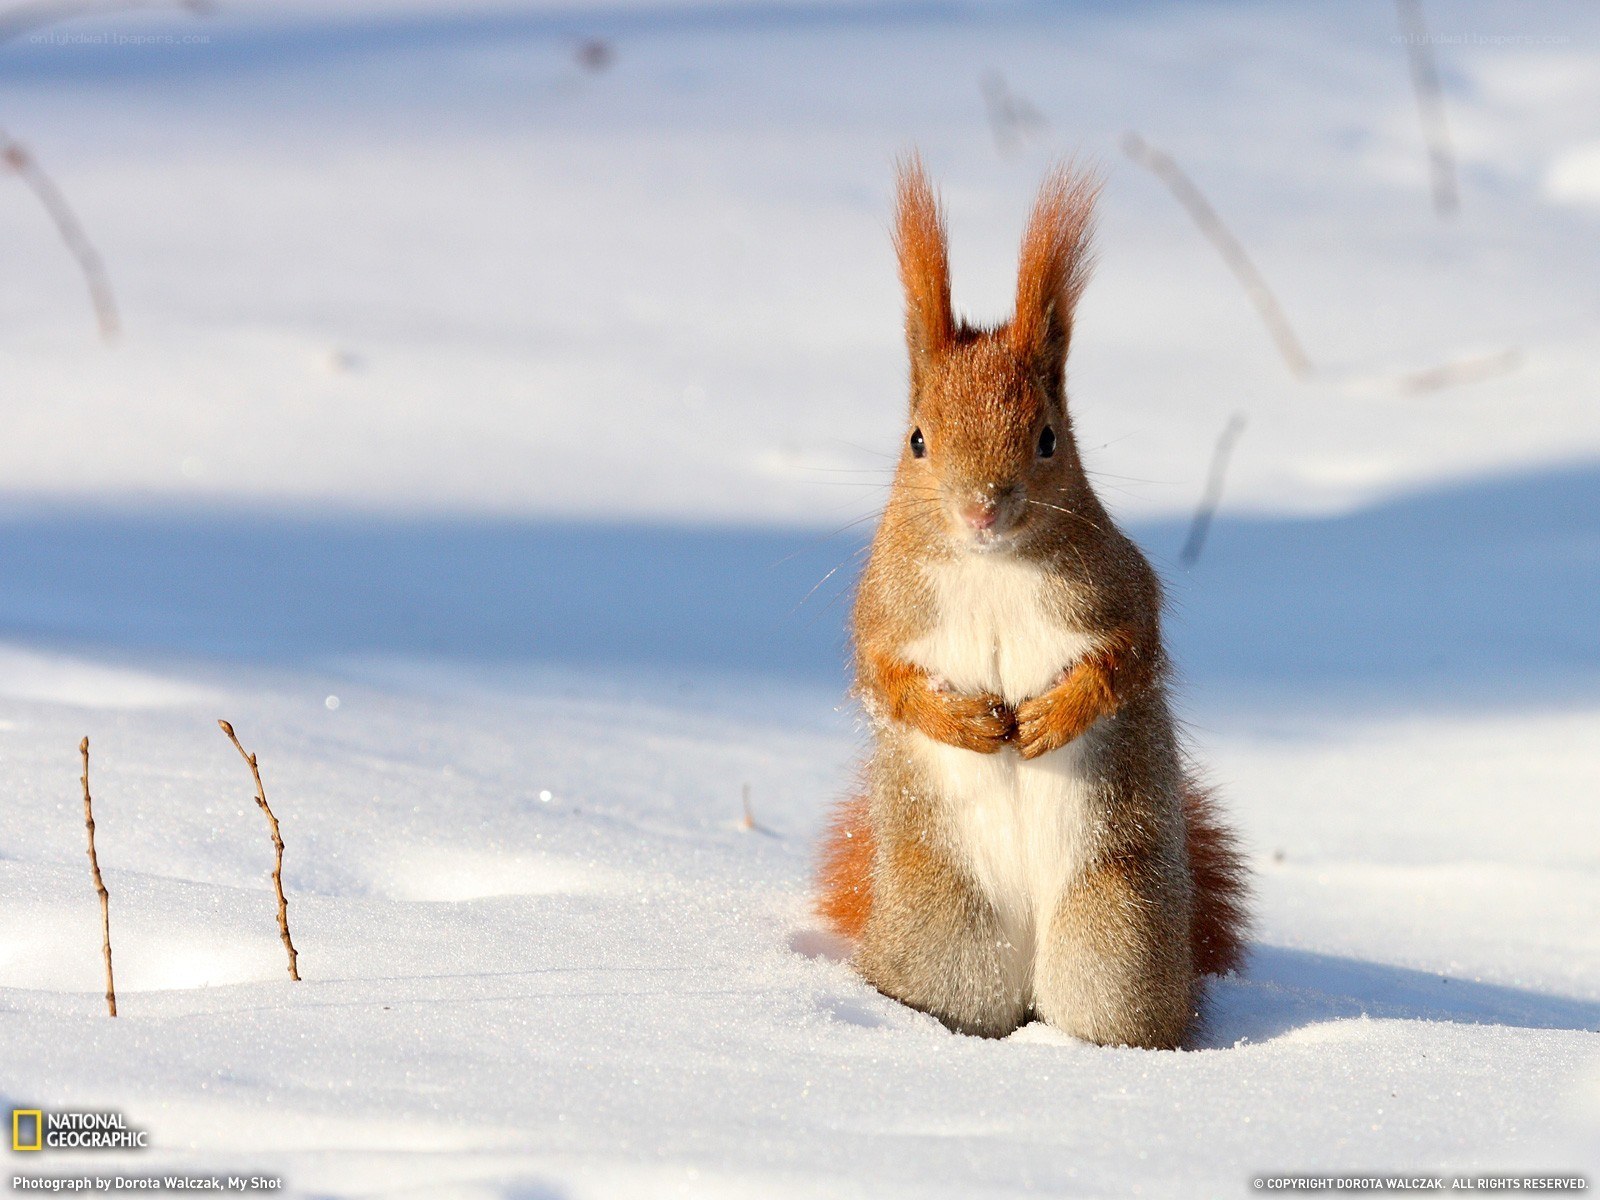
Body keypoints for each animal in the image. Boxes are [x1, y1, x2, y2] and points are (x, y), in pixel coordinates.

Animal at [815, 156, 1250, 1048]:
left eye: (1049, 438)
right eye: (917, 439)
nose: (982, 507)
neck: (991, 567)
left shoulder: (1120, 590)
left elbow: (1127, 658)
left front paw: (1051, 719)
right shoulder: (884, 612)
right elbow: (885, 680)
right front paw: (969, 724)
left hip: (1117, 933)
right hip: (946, 935)